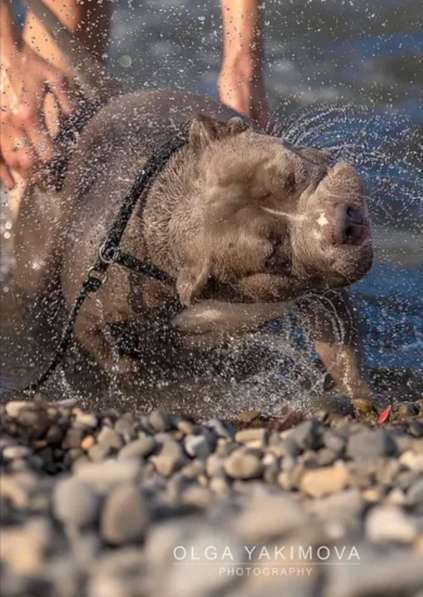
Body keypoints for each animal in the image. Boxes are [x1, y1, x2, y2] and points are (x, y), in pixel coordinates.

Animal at [14, 88, 374, 402]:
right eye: (273, 253)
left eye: (290, 175)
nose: (344, 223)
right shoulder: (90, 310)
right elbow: (110, 354)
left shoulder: (317, 289)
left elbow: (340, 345)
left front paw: (363, 399)